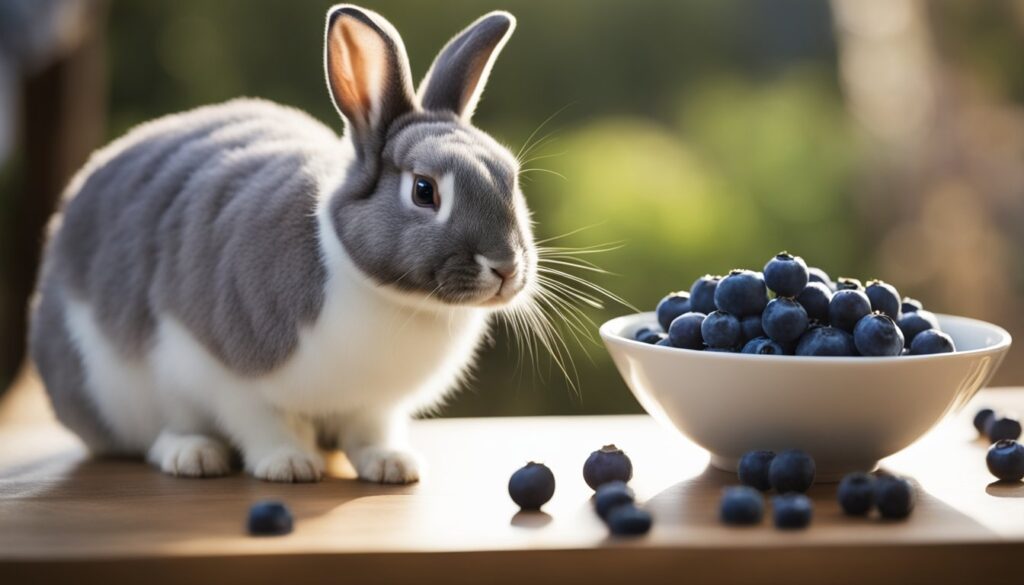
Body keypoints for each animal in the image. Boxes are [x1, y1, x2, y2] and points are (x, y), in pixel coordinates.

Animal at [28, 4, 534, 484]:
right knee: (154, 437)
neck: (385, 295)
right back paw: (194, 454)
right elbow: (263, 425)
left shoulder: (374, 407)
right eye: (425, 191)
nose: (505, 266)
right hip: (115, 393)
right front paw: (288, 465)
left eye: (509, 177)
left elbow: (369, 435)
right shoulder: (228, 378)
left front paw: (393, 465)